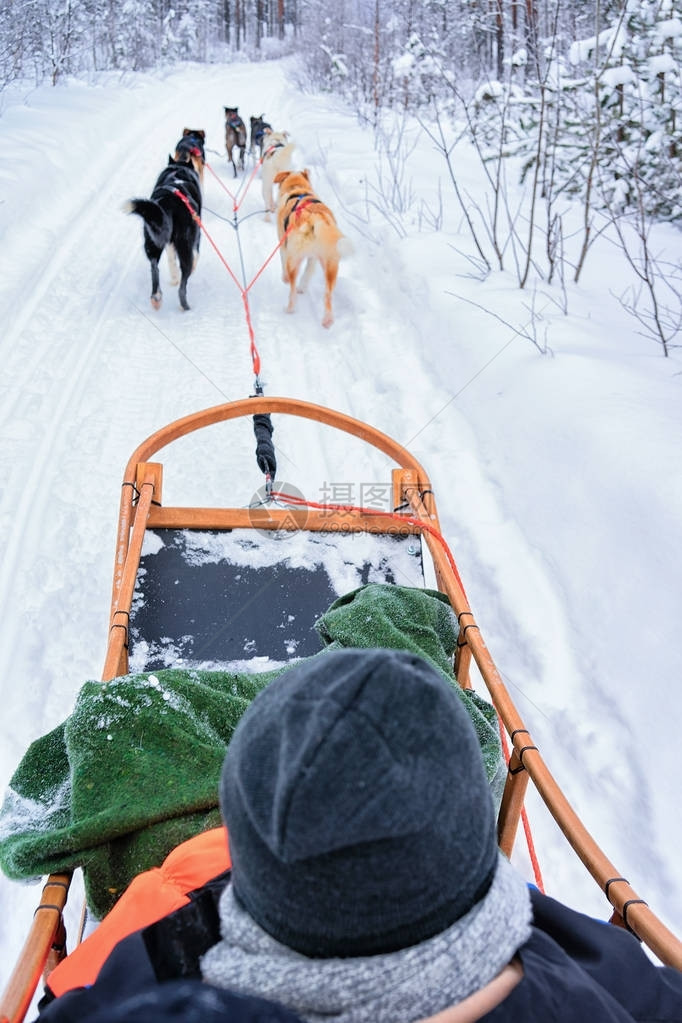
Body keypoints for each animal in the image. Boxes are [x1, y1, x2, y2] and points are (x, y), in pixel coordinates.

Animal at [274, 167, 349, 327]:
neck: (297, 188)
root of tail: (313, 217)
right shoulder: (313, 258)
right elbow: (308, 272)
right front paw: (303, 287)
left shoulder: (284, 246)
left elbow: (283, 262)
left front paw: (284, 279)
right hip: (331, 265)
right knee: (327, 295)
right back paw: (327, 320)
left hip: (294, 259)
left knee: (292, 290)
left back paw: (289, 308)